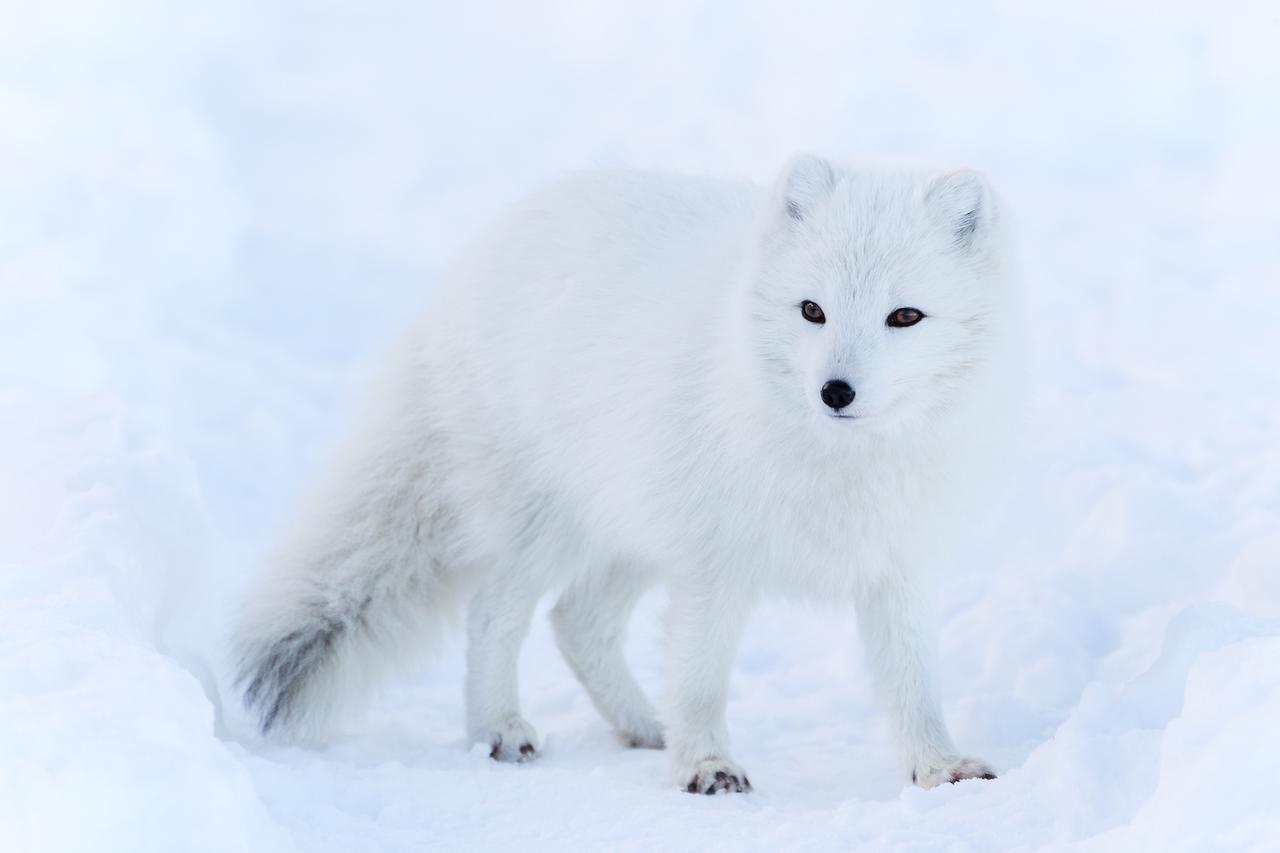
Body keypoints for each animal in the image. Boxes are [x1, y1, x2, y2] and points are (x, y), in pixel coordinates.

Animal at [235, 153, 1003, 788]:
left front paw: (938, 765)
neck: (841, 463)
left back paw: (643, 726)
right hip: (553, 525)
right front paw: (707, 766)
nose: (835, 391)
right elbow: (700, 678)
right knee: (496, 612)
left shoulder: (896, 563)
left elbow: (915, 684)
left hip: (634, 530)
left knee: (577, 622)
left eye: (904, 316)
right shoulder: (715, 564)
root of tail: (474, 260)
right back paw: (499, 730)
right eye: (812, 309)